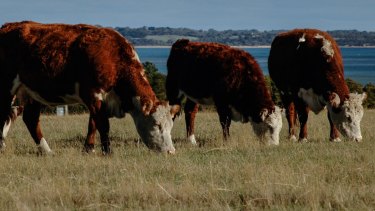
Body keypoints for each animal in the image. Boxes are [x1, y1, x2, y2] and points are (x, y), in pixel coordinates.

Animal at [0, 21, 178, 153]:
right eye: (156, 124)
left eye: (171, 125)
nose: (170, 151)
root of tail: (7, 26)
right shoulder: (93, 94)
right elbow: (103, 125)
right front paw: (107, 151)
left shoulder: (99, 101)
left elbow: (93, 124)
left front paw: (89, 148)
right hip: (7, 87)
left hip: (31, 92)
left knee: (30, 119)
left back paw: (46, 151)